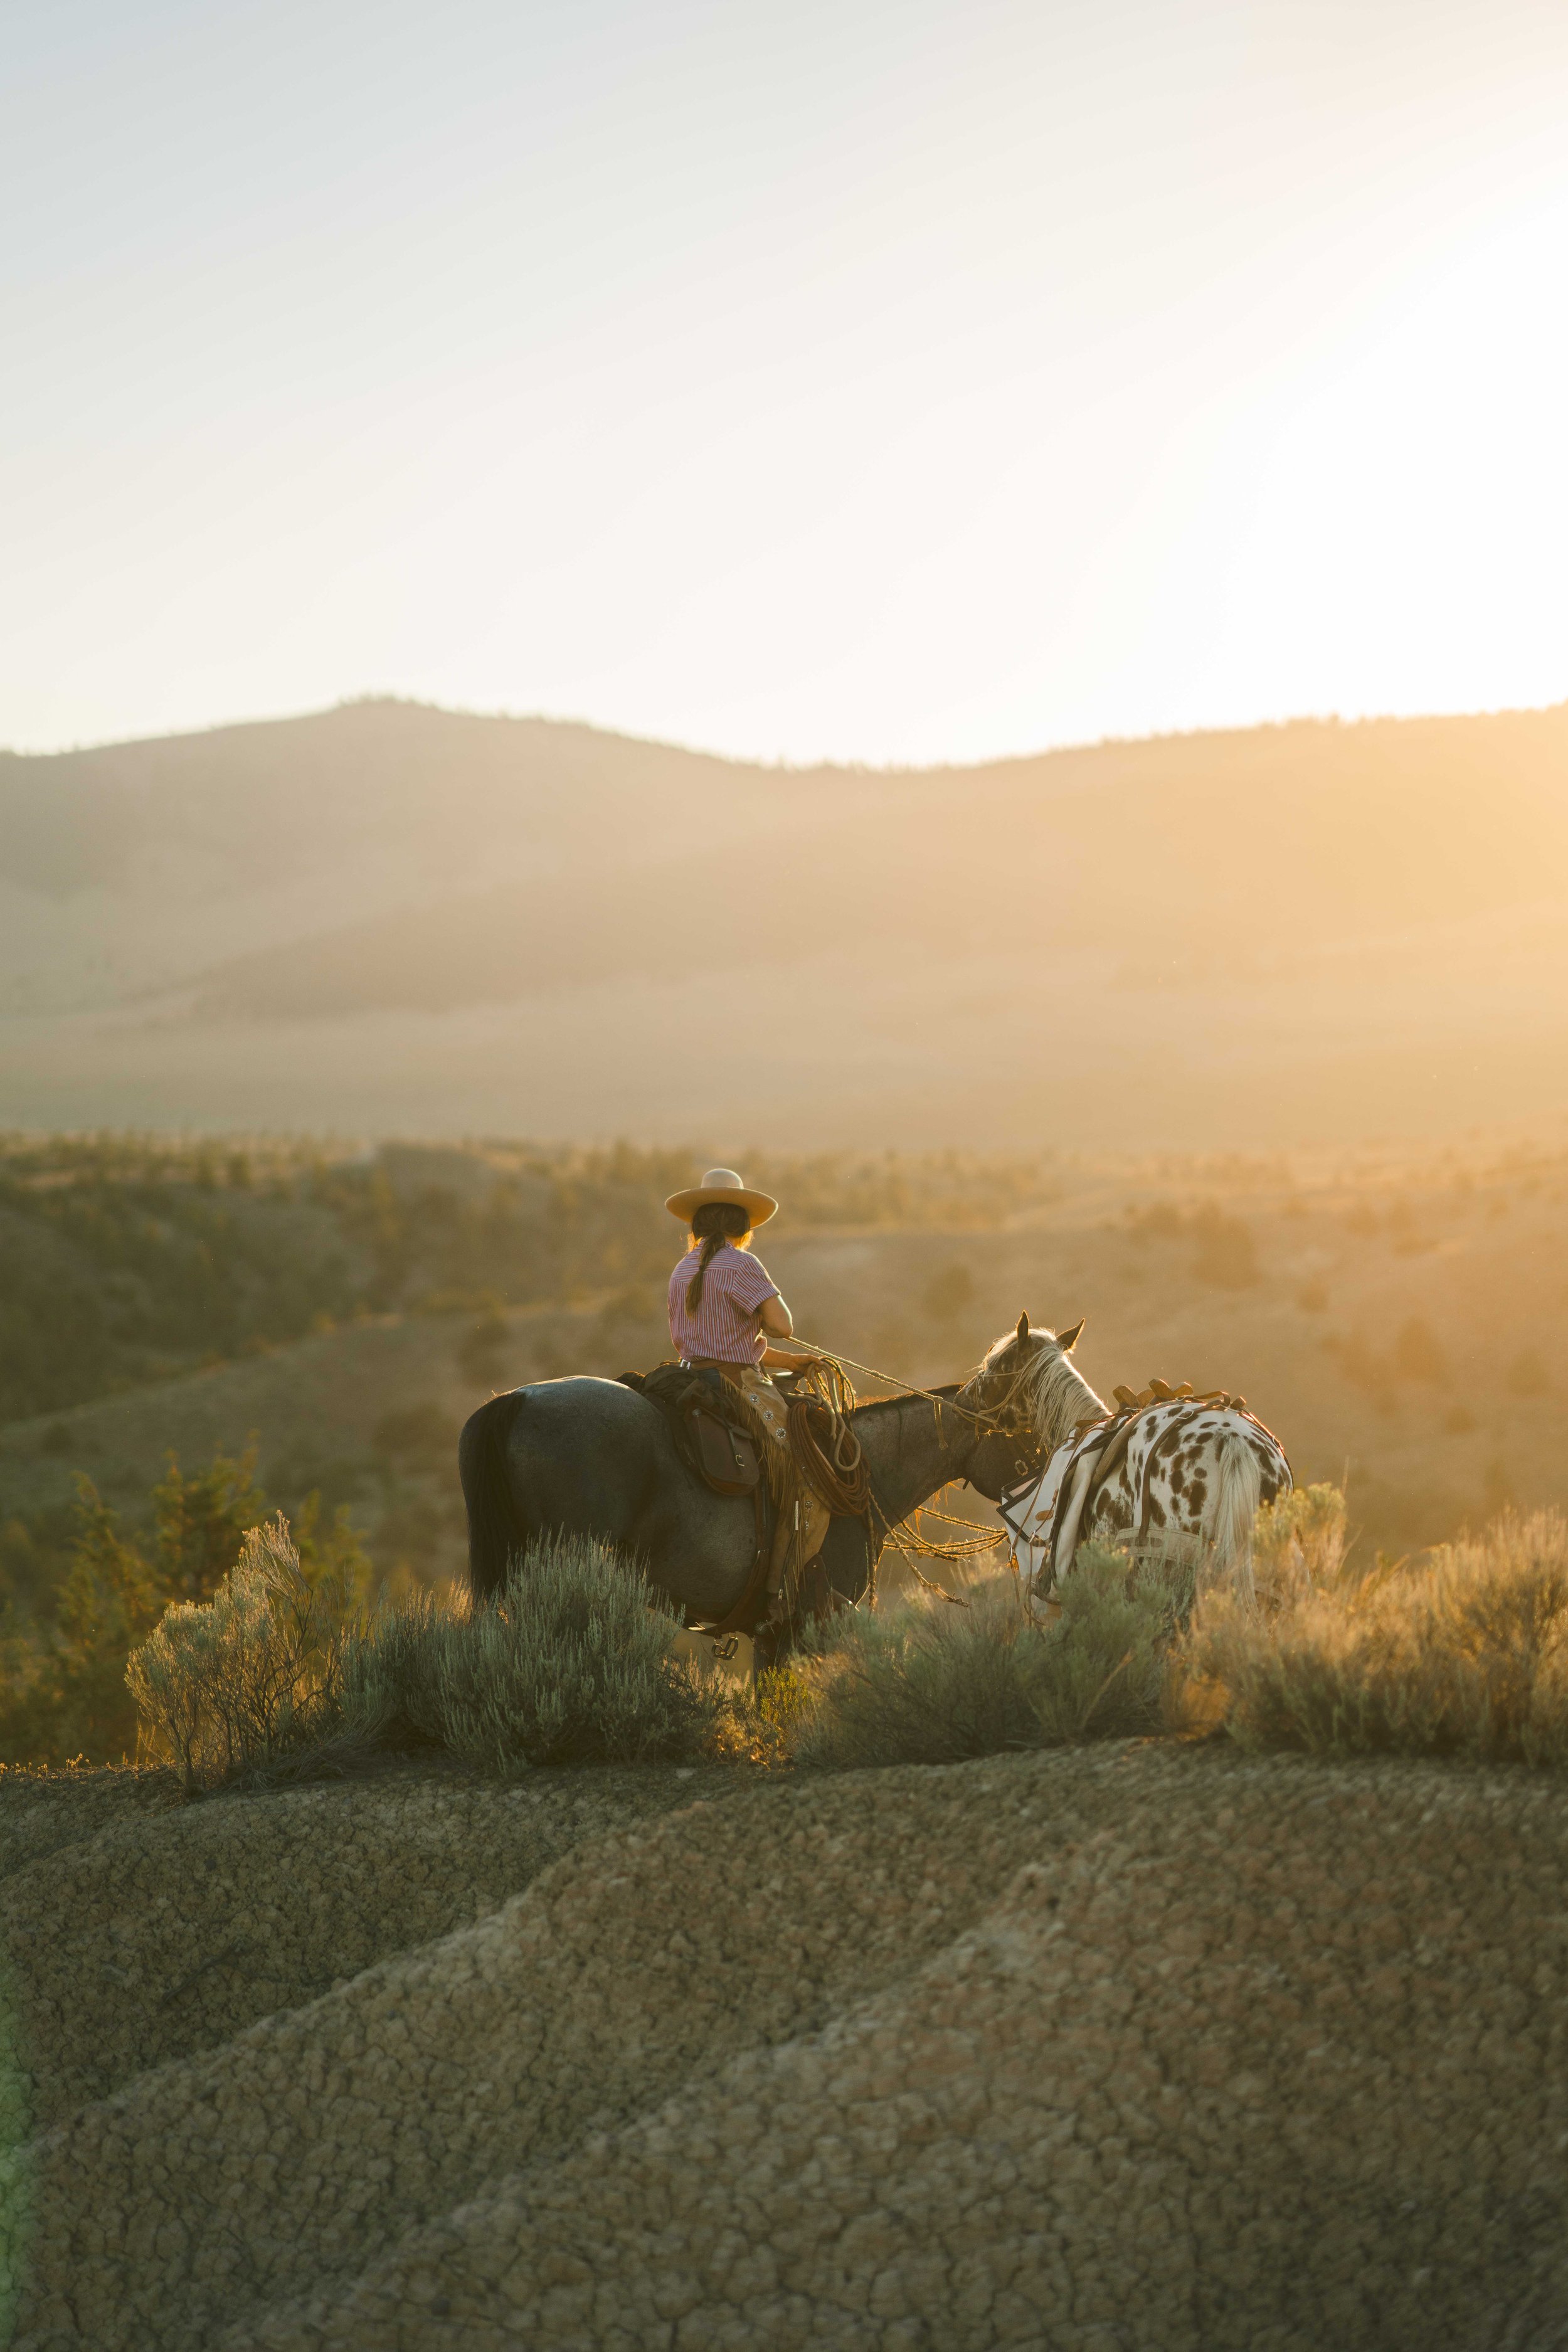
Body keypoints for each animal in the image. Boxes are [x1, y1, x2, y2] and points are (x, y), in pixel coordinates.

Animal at [457, 1327, 1048, 1663]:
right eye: (1027, 1430)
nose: (1046, 1497)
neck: (868, 1473)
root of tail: (515, 1399)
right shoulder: (810, 1623)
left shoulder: (772, 1634)